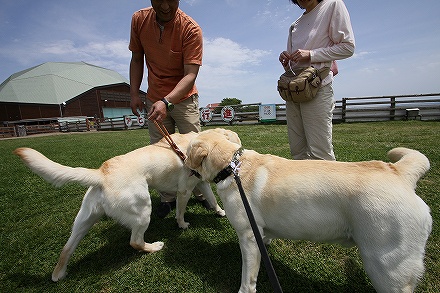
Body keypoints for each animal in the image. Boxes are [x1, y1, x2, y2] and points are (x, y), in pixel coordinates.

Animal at [15, 131, 225, 280]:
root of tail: (101, 173)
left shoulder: (201, 184)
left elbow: (213, 199)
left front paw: (220, 211)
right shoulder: (184, 191)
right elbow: (180, 213)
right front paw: (182, 225)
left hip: (83, 222)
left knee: (66, 249)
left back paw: (58, 274)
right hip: (143, 211)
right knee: (135, 241)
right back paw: (153, 247)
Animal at [186, 129, 434, 292]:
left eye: (187, 151)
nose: (183, 161)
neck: (232, 166)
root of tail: (398, 172)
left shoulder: (247, 235)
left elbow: (248, 276)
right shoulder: (258, 231)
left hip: (386, 268)